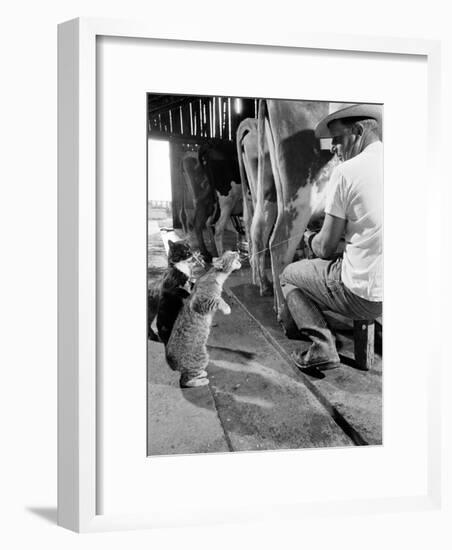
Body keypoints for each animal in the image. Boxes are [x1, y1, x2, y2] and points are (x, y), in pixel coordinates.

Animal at [166, 252, 242, 390]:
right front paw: (226, 308)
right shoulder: (200, 302)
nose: (238, 252)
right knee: (185, 381)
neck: (215, 276)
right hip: (202, 358)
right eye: (231, 254)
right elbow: (218, 300)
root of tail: (171, 364)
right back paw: (201, 381)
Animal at [237, 100, 340, 320]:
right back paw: (285, 312)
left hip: (269, 193)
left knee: (257, 228)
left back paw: (264, 286)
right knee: (278, 243)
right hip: (301, 195)